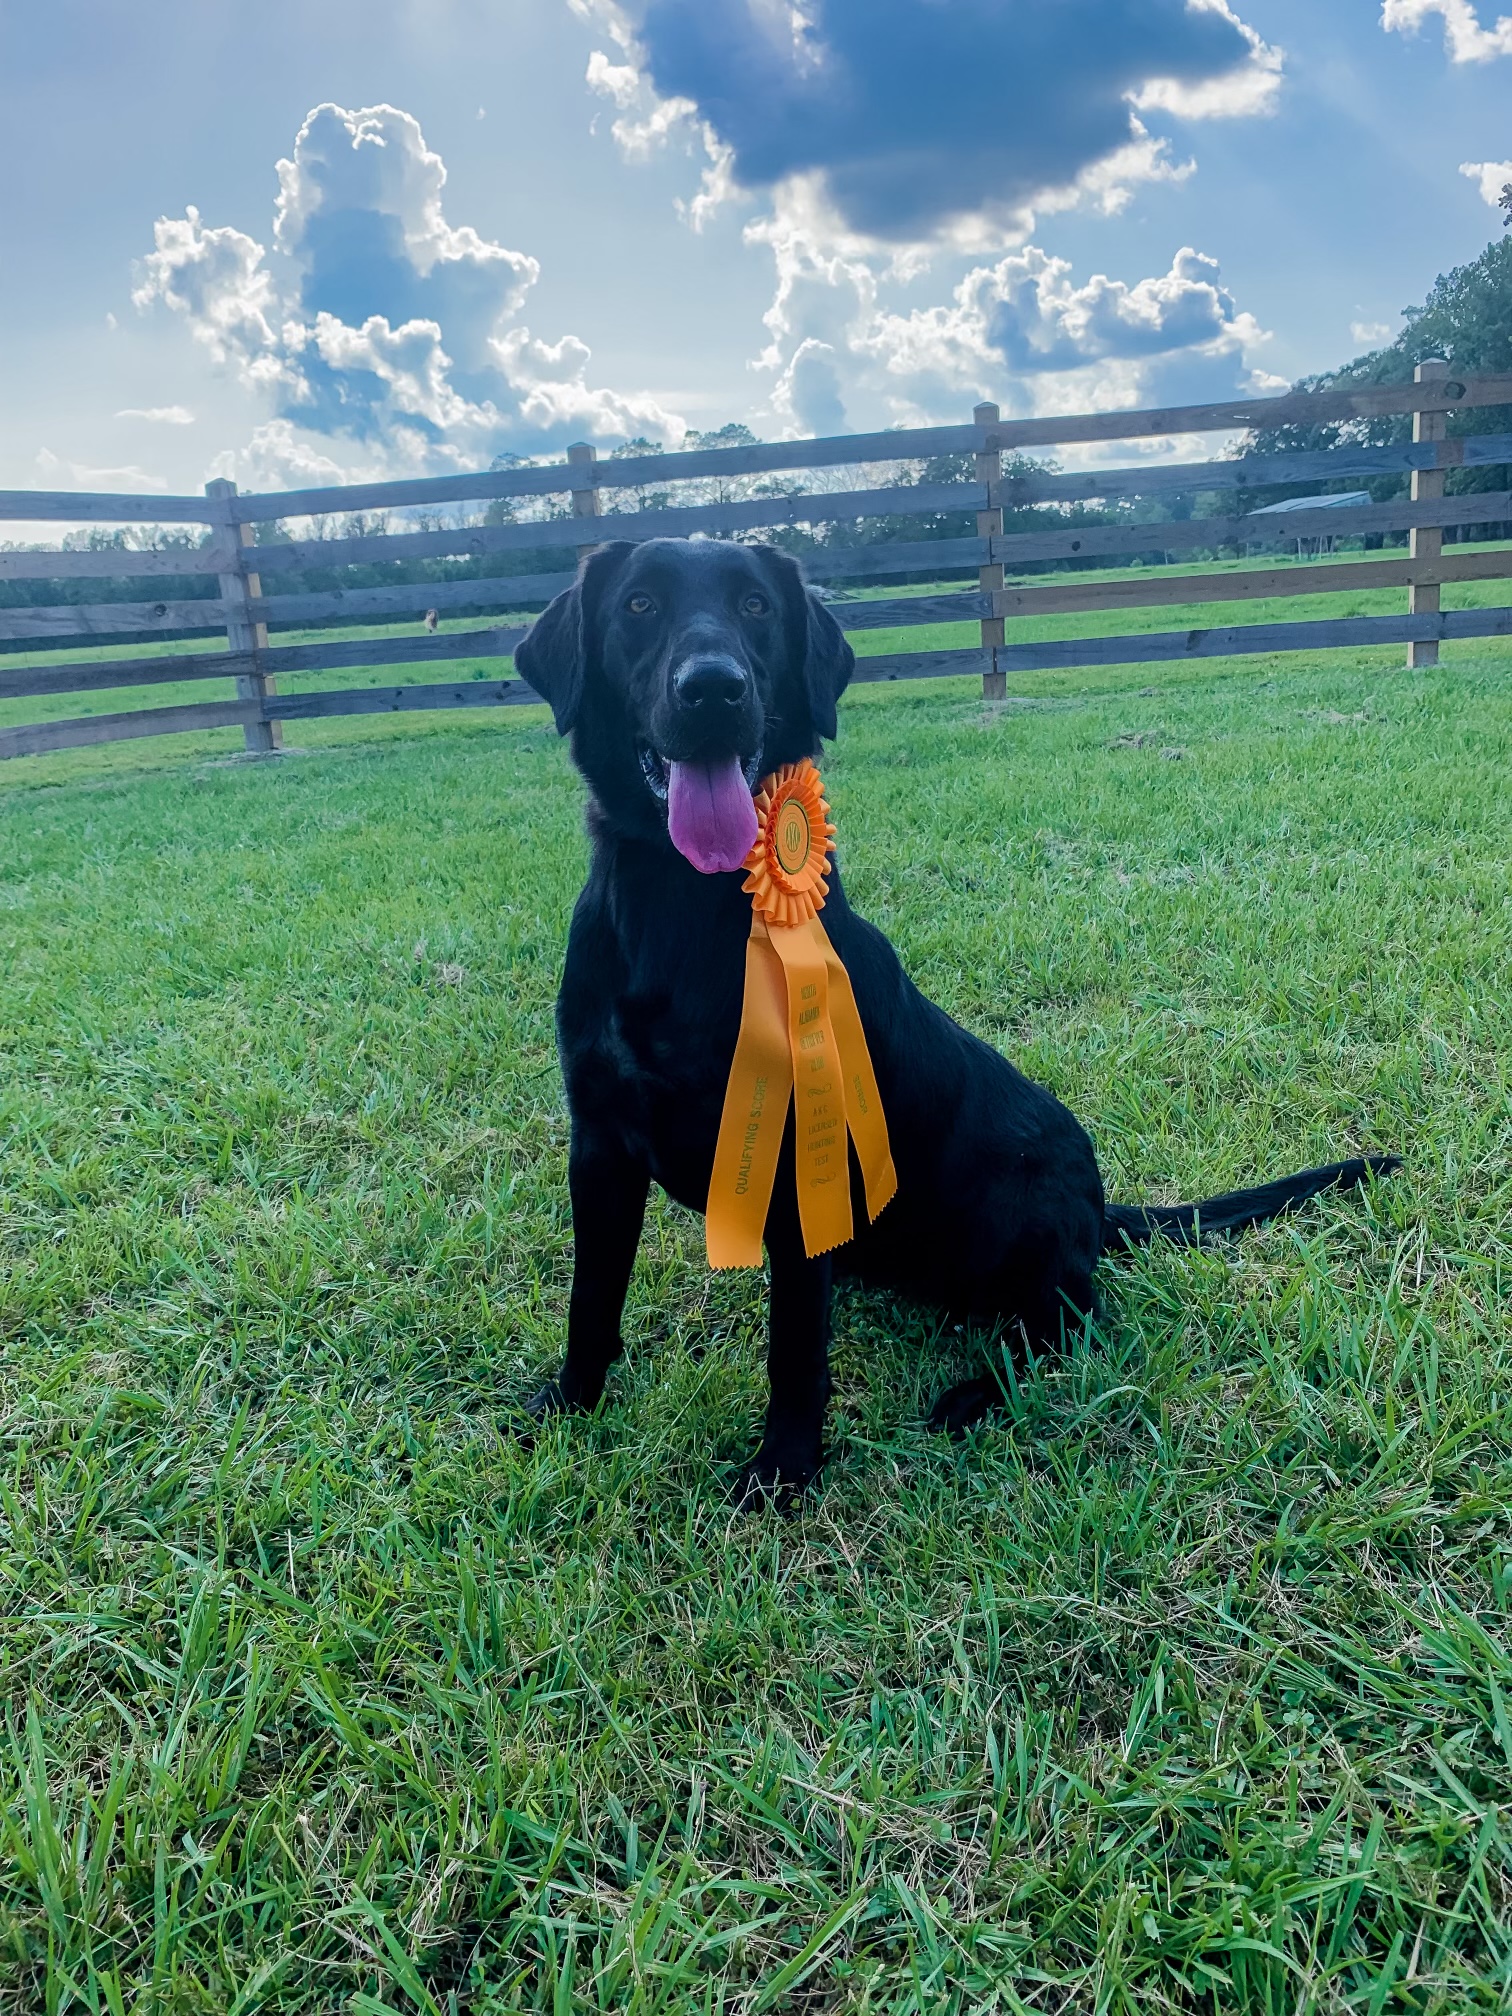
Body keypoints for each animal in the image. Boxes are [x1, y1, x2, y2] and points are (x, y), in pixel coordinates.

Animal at [516, 536, 1403, 1499]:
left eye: (756, 606)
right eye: (638, 606)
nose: (713, 689)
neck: (679, 910)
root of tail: (1099, 1204)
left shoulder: (795, 1158)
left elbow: (795, 1347)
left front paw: (784, 1468)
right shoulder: (599, 1147)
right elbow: (591, 1298)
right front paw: (570, 1405)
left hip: (1010, 1216)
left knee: (1072, 1319)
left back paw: (977, 1392)